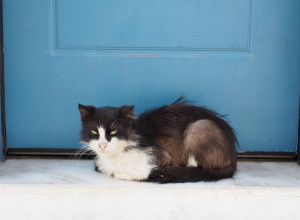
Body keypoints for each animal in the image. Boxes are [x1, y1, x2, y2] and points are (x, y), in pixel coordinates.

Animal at [78, 97, 238, 183]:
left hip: (198, 126)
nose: (102, 145)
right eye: (94, 132)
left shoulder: (160, 155)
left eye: (113, 131)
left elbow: (135, 172)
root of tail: (233, 158)